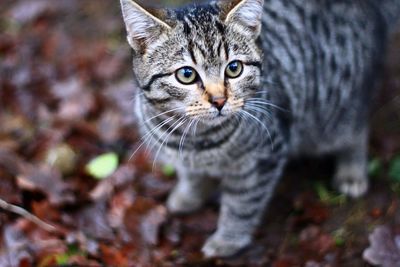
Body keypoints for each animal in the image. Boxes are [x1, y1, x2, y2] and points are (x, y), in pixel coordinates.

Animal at [119, 0, 400, 258]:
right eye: (186, 74)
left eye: (234, 68)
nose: (219, 100)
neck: (196, 139)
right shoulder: (184, 159)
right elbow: (192, 178)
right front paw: (187, 197)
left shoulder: (261, 162)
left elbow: (242, 204)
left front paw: (227, 240)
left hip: (336, 110)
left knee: (356, 128)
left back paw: (352, 171)